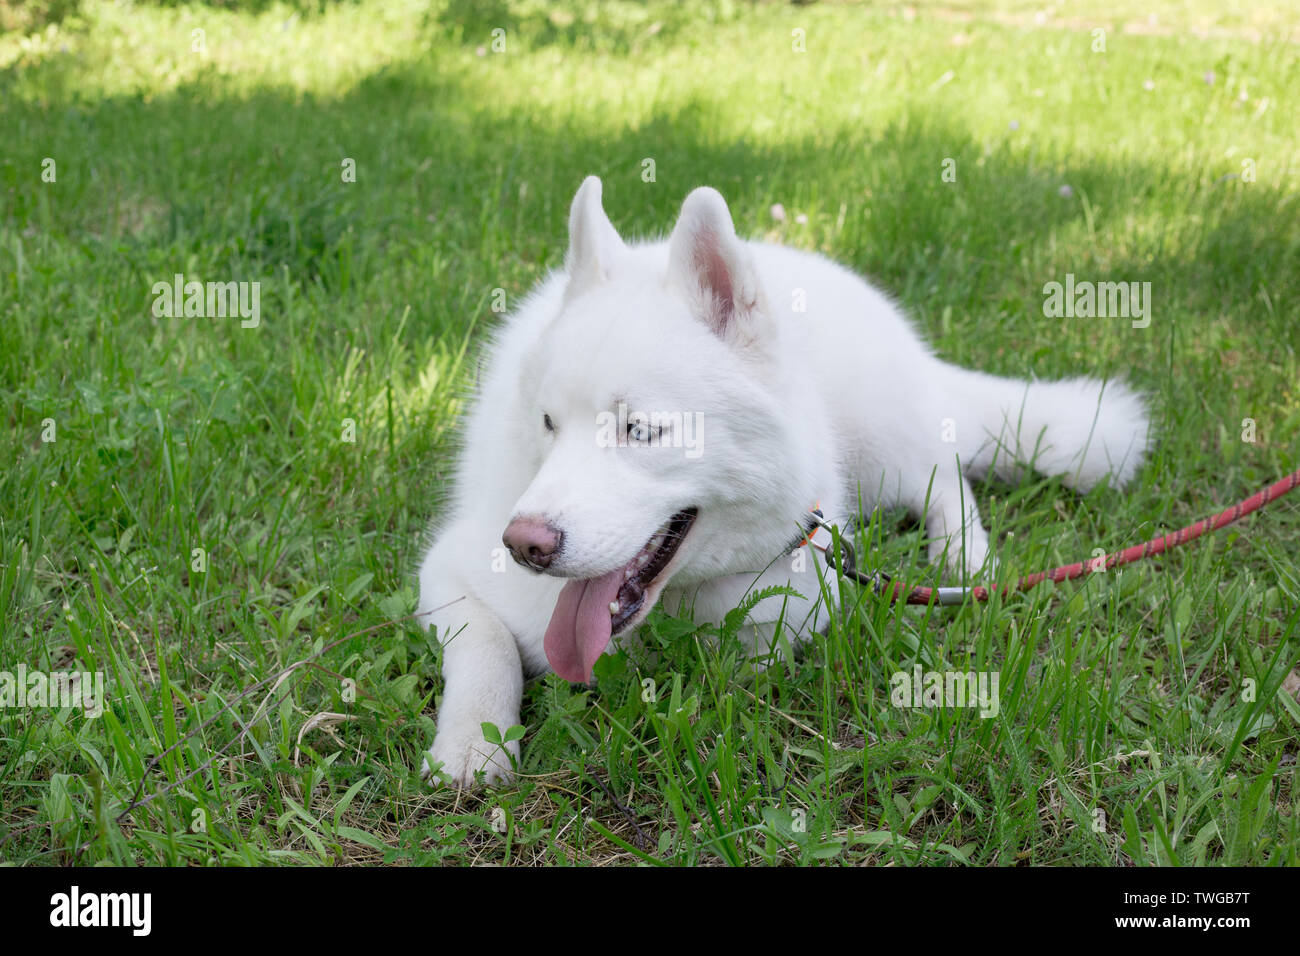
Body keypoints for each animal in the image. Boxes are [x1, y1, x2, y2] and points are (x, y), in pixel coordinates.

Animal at [416, 178, 1149, 785]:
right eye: (546, 421)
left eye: (642, 431)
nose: (524, 545)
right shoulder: (449, 569)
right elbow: (485, 647)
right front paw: (475, 743)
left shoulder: (796, 605)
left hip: (885, 440)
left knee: (944, 474)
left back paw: (963, 555)